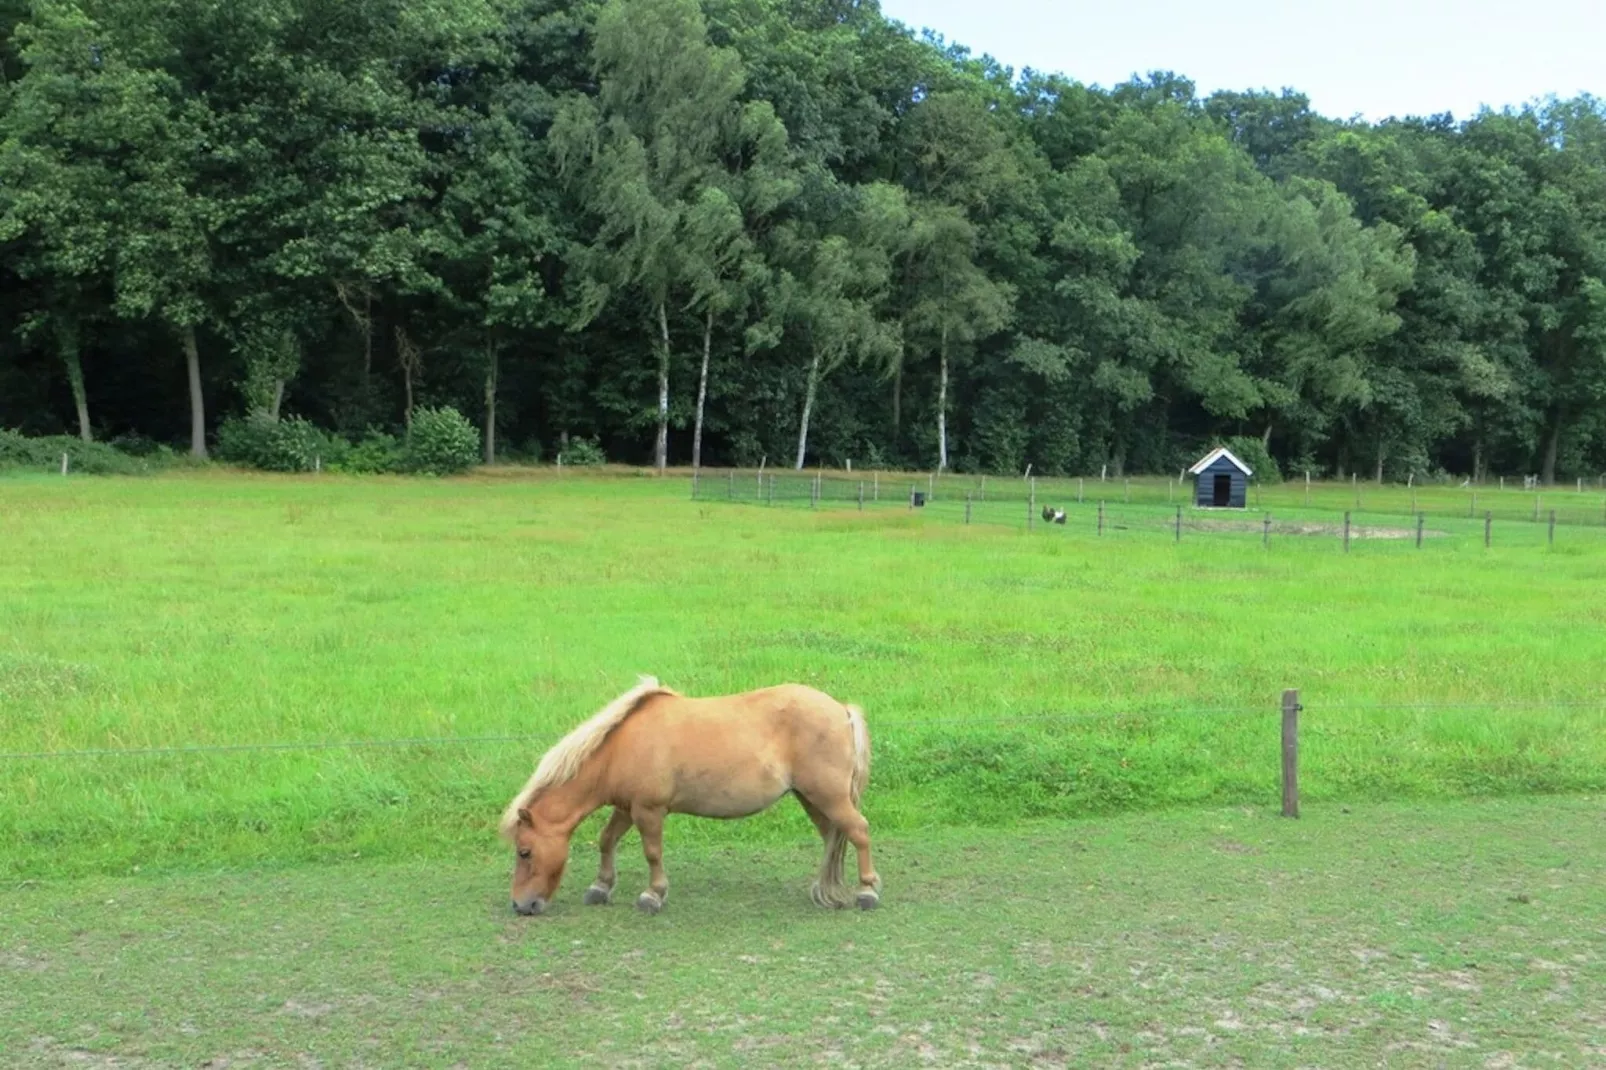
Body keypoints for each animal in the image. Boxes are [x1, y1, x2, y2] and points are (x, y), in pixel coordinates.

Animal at [497, 677, 886, 912]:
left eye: (524, 851)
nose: (520, 905)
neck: (621, 746)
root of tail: (841, 710)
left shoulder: (649, 810)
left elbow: (652, 853)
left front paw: (653, 895)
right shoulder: (626, 808)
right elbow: (607, 840)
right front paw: (600, 887)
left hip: (828, 796)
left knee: (859, 831)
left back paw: (867, 891)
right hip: (813, 798)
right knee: (833, 836)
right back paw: (825, 889)